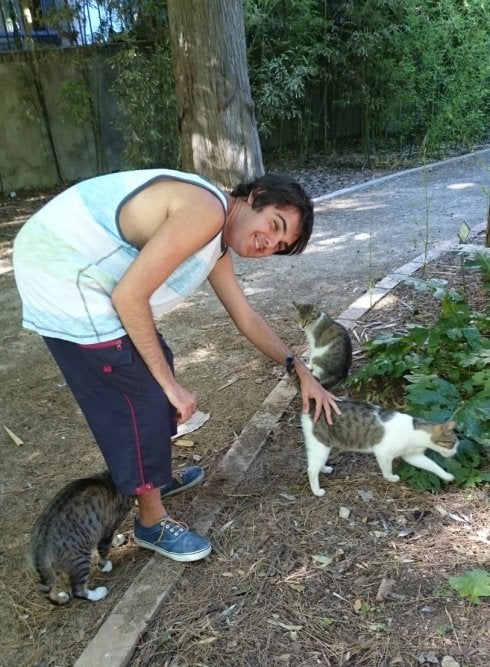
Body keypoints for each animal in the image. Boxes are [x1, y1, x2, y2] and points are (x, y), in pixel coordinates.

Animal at [27, 470, 133, 604]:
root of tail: (39, 552)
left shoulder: (105, 528)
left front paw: (116, 540)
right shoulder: (107, 528)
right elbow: (103, 549)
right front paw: (104, 565)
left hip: (53, 568)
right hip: (80, 559)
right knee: (77, 590)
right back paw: (98, 593)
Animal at [300, 400, 458, 498]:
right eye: (453, 444)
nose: (455, 452)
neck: (416, 433)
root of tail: (314, 405)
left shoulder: (413, 456)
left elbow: (433, 466)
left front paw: (446, 476)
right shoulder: (384, 453)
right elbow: (387, 469)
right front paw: (391, 477)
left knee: (315, 464)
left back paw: (324, 468)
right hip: (321, 444)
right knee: (311, 469)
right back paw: (317, 491)